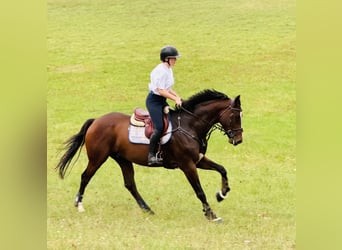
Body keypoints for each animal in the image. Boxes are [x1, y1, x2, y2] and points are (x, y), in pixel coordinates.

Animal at [56, 89, 243, 222]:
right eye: (235, 115)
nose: (239, 140)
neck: (190, 125)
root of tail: (96, 120)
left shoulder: (198, 160)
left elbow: (222, 169)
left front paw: (222, 194)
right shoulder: (187, 165)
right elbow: (199, 191)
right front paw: (211, 215)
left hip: (123, 159)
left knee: (130, 184)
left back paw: (147, 209)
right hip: (98, 158)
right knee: (85, 176)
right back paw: (79, 205)